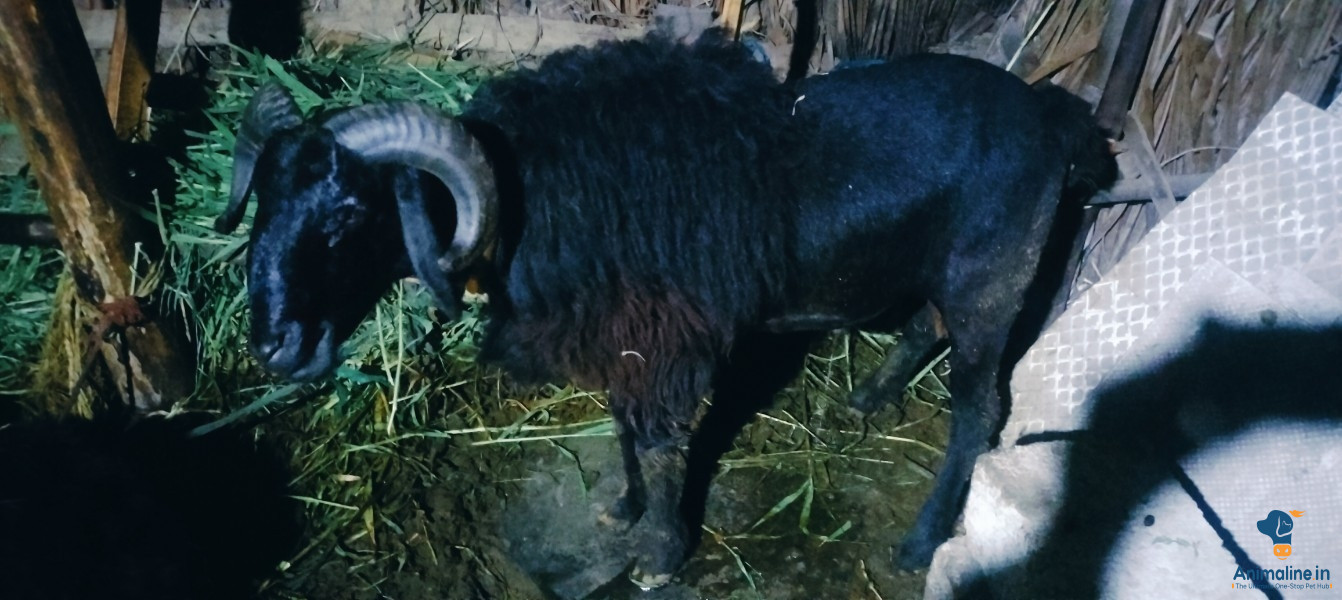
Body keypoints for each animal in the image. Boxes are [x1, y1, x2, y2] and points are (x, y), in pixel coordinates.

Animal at [217, 30, 1117, 586]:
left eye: (350, 212)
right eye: (261, 203)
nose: (274, 347)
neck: (535, 188)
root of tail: (1055, 117)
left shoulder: (667, 342)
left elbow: (657, 444)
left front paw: (659, 553)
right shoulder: (627, 336)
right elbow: (622, 425)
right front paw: (623, 509)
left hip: (993, 277)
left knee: (979, 409)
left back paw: (923, 540)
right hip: (940, 270)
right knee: (923, 327)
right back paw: (868, 396)